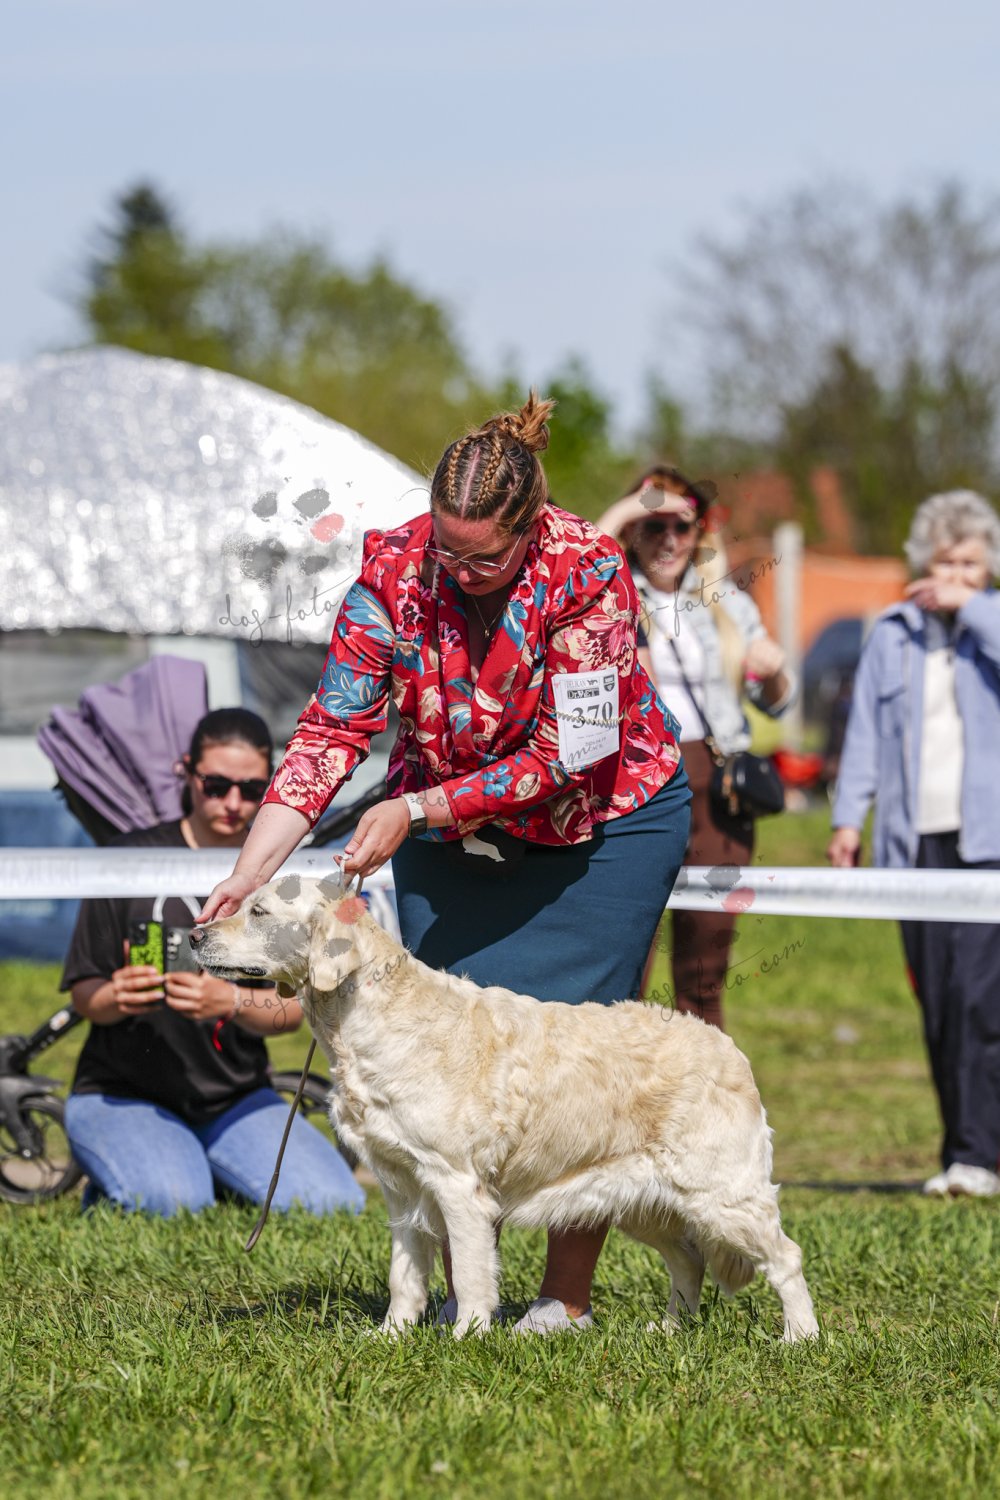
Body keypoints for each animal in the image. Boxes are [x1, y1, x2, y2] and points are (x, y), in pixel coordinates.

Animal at [191, 875, 818, 1342]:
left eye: (260, 911)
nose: (195, 936)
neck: (369, 1016)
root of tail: (725, 1044)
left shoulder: (456, 1183)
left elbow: (471, 1273)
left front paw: (466, 1337)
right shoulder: (399, 1186)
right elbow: (404, 1275)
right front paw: (392, 1336)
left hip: (722, 1194)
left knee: (786, 1257)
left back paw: (799, 1338)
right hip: (643, 1198)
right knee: (688, 1260)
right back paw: (668, 1331)